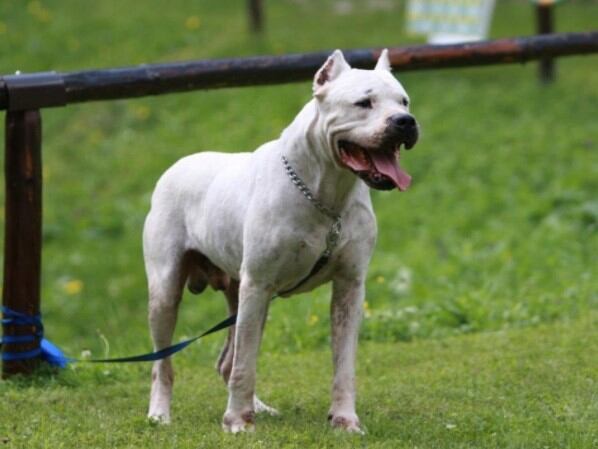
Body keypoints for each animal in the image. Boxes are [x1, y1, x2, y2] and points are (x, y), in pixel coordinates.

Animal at [144, 48, 418, 430]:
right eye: (364, 103)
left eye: (404, 101)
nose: (406, 121)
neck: (326, 193)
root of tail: (174, 167)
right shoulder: (258, 284)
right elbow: (245, 365)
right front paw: (237, 423)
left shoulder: (349, 287)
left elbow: (344, 364)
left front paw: (345, 419)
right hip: (168, 293)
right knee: (165, 362)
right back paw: (160, 413)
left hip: (240, 294)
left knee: (227, 361)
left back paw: (259, 408)